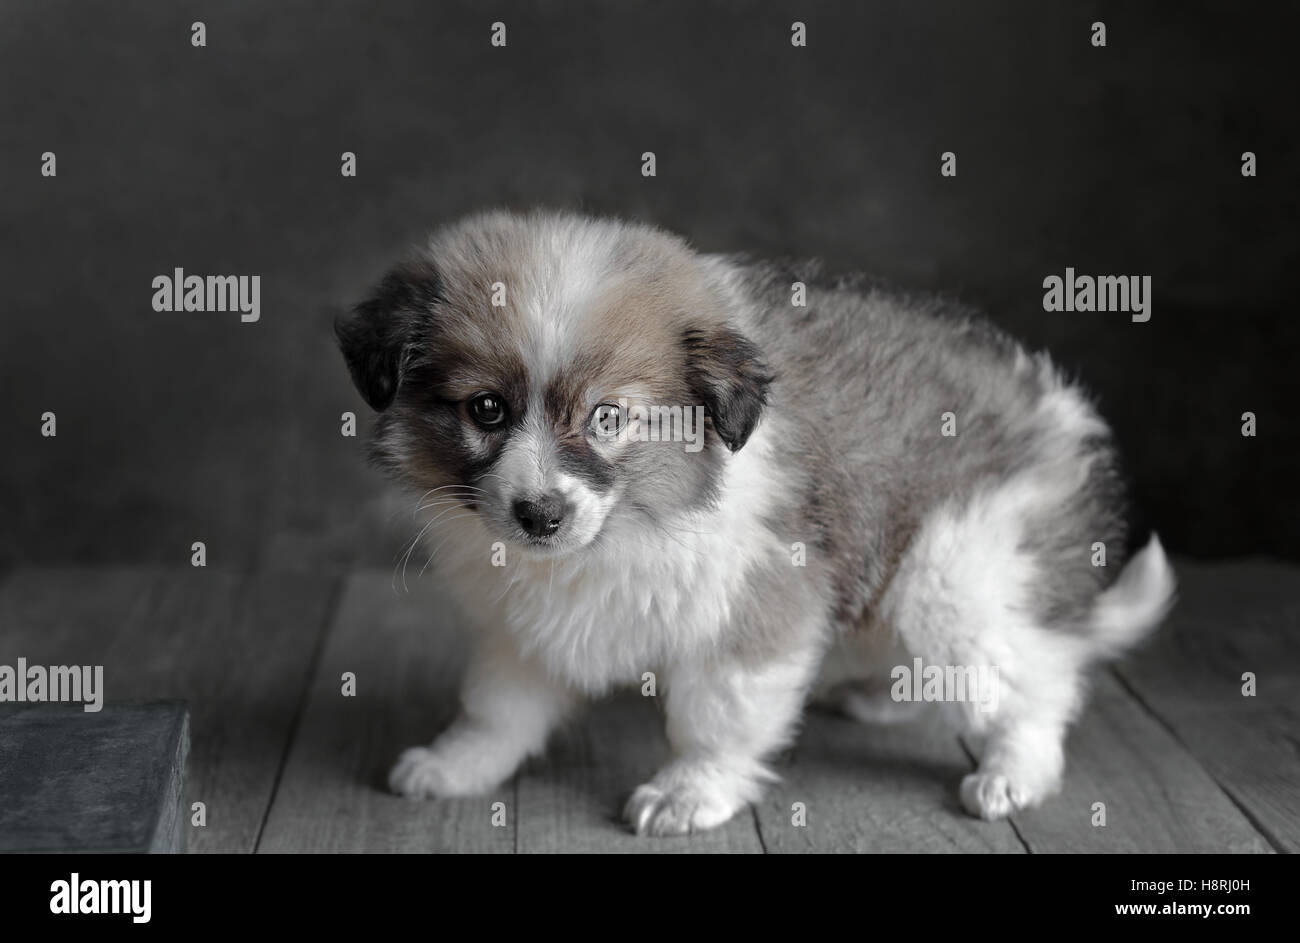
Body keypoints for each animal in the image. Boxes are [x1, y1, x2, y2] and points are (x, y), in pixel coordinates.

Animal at [335, 212, 1180, 832]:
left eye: (609, 417)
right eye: (486, 409)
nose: (540, 514)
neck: (631, 520)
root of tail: (1058, 410)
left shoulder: (752, 601)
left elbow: (717, 713)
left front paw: (689, 789)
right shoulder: (524, 620)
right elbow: (498, 703)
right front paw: (459, 762)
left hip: (958, 571)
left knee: (1032, 680)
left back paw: (1014, 768)